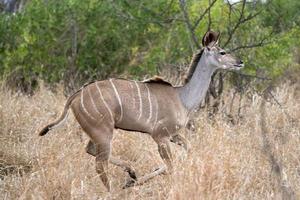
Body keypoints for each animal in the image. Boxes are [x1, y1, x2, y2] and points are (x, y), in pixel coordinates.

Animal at [38, 30, 244, 190]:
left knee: (91, 150)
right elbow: (171, 165)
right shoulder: (160, 135)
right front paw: (135, 182)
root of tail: (76, 95)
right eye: (223, 52)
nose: (240, 62)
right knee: (100, 163)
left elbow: (186, 151)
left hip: (97, 132)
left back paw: (131, 173)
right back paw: (115, 189)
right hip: (103, 131)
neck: (183, 97)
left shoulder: (173, 135)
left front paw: (133, 180)